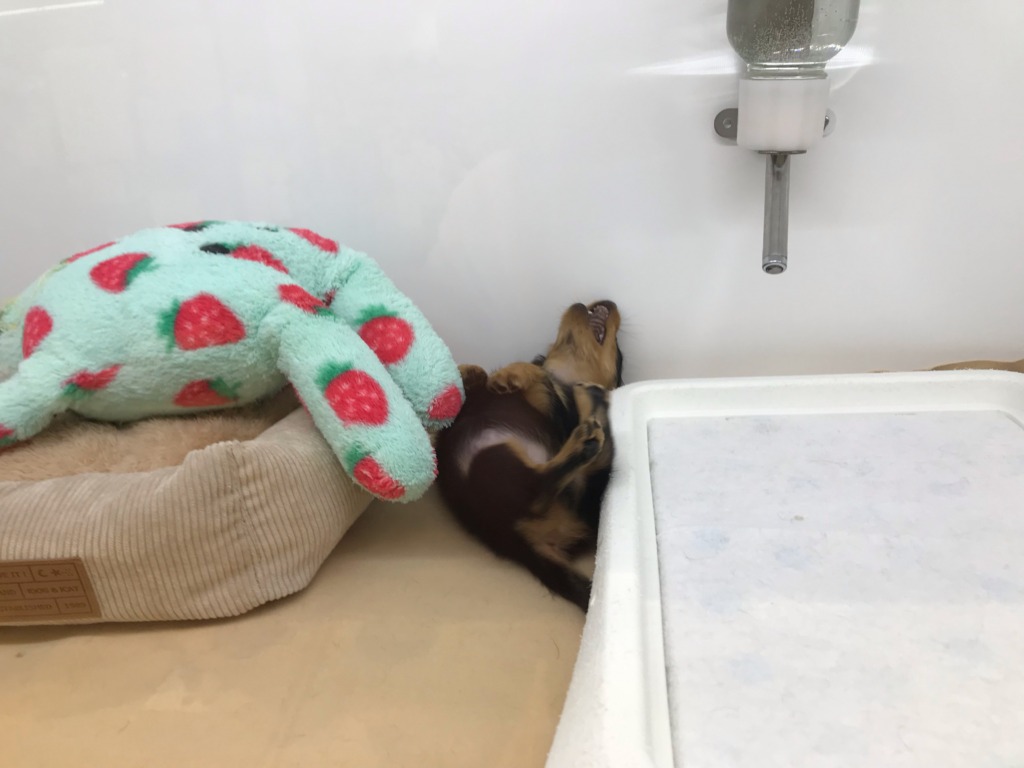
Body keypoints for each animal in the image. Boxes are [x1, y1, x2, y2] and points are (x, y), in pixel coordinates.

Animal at [435, 300, 623, 611]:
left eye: (620, 352)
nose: (603, 303)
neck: (568, 376)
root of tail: (518, 541)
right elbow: (487, 377)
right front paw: (474, 373)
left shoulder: (558, 412)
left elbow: (540, 376)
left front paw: (508, 376)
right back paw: (593, 404)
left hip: (491, 461)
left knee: (539, 487)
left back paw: (586, 430)